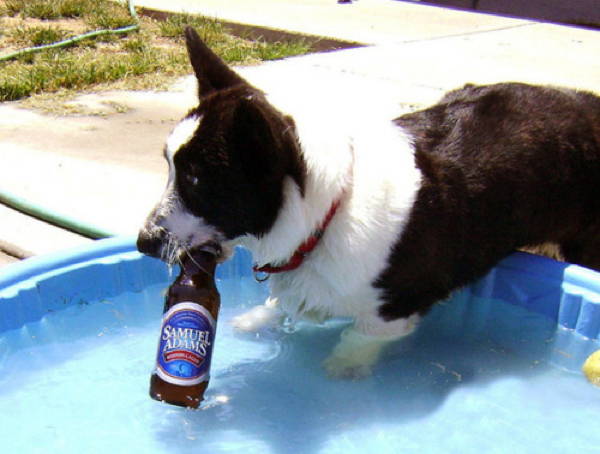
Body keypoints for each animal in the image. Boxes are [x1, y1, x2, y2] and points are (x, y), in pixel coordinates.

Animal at [137, 26, 600, 378]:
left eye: (197, 180)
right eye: (170, 167)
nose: (143, 243)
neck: (324, 215)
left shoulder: (392, 314)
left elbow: (354, 338)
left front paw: (341, 370)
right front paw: (255, 320)